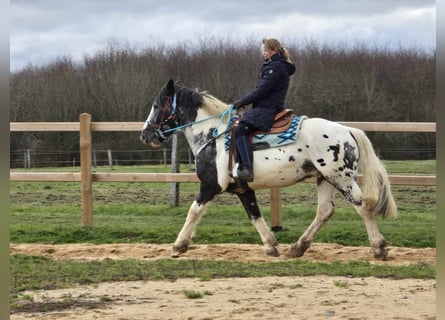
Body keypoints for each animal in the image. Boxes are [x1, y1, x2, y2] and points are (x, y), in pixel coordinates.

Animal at [139, 79, 396, 260]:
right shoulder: (243, 189)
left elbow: (193, 211)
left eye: (156, 106)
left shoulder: (211, 185)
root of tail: (349, 130)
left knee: (363, 207)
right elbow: (255, 215)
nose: (145, 135)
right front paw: (271, 246)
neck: (212, 134)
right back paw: (297, 247)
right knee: (324, 211)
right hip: (325, 179)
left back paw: (378, 248)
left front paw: (178, 246)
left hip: (342, 179)